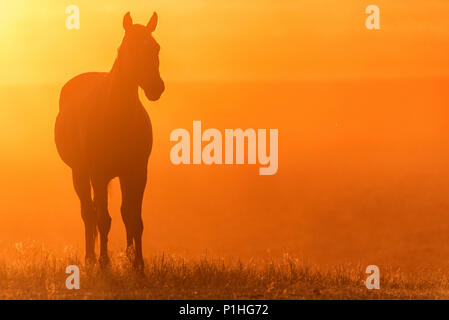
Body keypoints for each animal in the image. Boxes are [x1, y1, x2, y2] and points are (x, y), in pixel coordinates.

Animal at [53, 11, 164, 270]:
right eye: (128, 49)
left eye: (156, 48)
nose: (156, 87)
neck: (116, 116)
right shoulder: (99, 173)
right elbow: (103, 219)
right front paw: (104, 264)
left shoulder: (137, 171)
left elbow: (134, 218)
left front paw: (138, 264)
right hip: (80, 173)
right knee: (88, 213)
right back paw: (91, 259)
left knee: (118, 213)